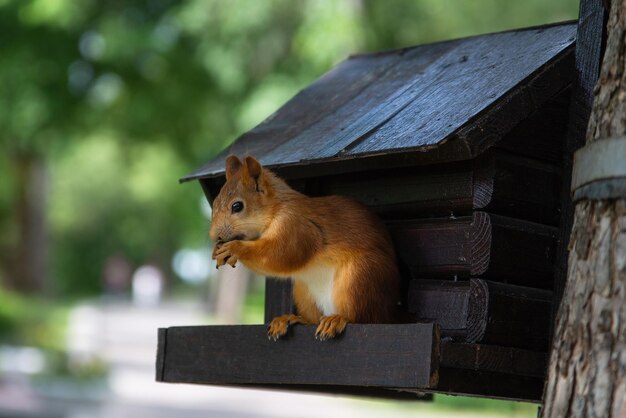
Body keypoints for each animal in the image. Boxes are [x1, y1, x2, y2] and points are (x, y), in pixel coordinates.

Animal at [207, 155, 398, 342]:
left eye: (237, 206)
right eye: (214, 203)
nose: (214, 236)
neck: (276, 208)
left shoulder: (296, 225)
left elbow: (282, 254)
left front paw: (235, 249)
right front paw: (217, 250)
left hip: (360, 277)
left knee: (362, 317)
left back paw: (337, 319)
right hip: (304, 291)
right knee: (314, 319)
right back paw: (291, 318)